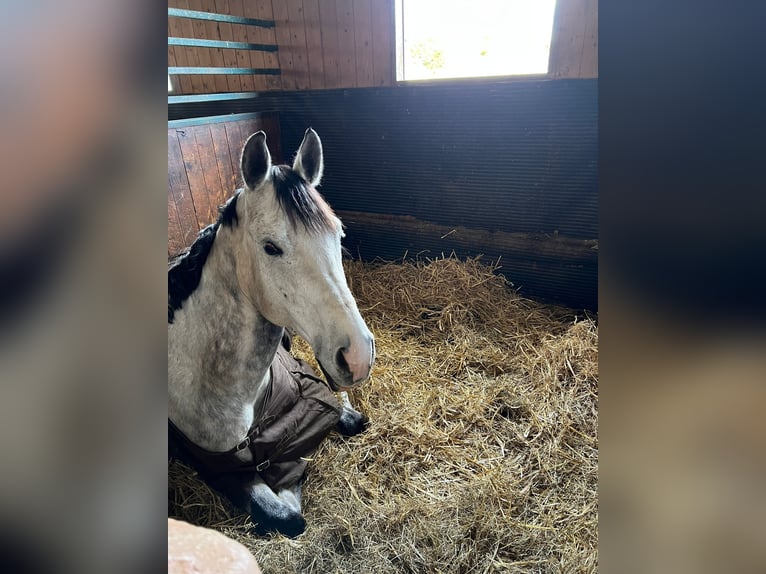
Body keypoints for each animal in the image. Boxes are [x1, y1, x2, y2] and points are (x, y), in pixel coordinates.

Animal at [168, 128, 376, 536]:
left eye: (339, 235)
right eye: (271, 247)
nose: (358, 356)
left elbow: (349, 417)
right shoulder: (217, 466)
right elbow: (287, 516)